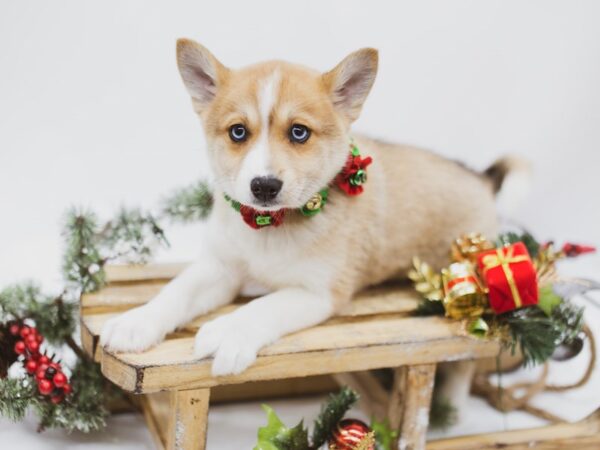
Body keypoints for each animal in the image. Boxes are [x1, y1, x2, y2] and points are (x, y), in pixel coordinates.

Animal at [99, 39, 520, 390]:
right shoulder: (220, 267)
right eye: (238, 132)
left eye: (299, 133)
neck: (270, 227)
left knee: (463, 368)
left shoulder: (317, 292)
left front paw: (229, 333)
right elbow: (176, 291)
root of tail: (482, 179)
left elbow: (261, 306)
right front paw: (137, 321)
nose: (264, 186)